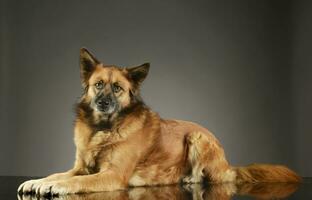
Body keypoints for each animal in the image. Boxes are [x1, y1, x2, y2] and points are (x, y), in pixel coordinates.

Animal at [16, 48, 300, 195]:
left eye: (117, 88)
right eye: (98, 85)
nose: (103, 103)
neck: (104, 128)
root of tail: (229, 164)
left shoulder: (113, 174)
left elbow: (76, 182)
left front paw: (56, 186)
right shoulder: (80, 167)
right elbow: (58, 173)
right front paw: (38, 182)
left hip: (197, 138)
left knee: (216, 178)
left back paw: (190, 179)